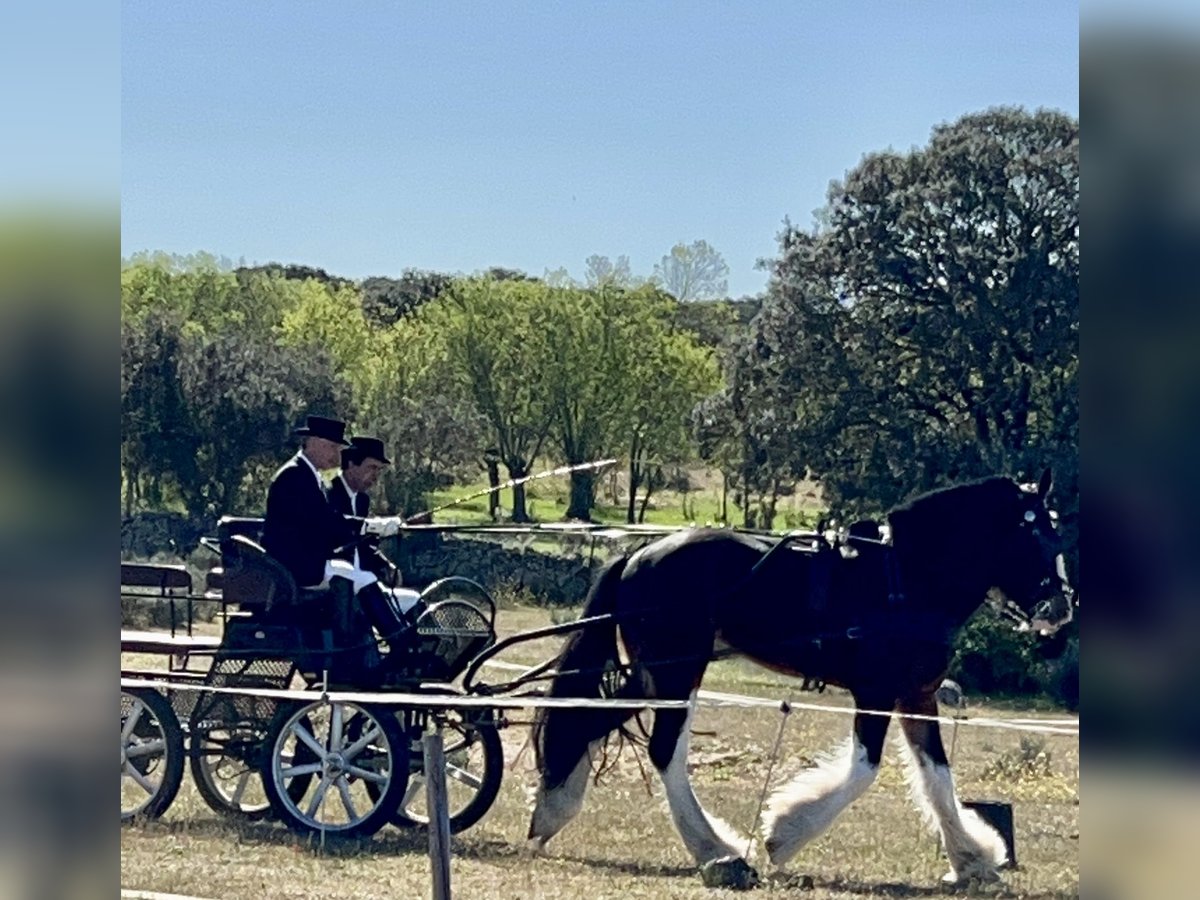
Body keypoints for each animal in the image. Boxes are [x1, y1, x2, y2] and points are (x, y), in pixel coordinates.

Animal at [530, 472, 1075, 888]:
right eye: (1031, 536)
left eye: (1055, 534)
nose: (1059, 610)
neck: (906, 577)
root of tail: (639, 555)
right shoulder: (876, 692)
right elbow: (864, 769)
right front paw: (784, 834)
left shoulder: (916, 695)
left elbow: (937, 776)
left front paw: (972, 861)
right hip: (677, 670)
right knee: (664, 751)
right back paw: (719, 854)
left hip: (654, 675)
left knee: (588, 722)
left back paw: (552, 813)